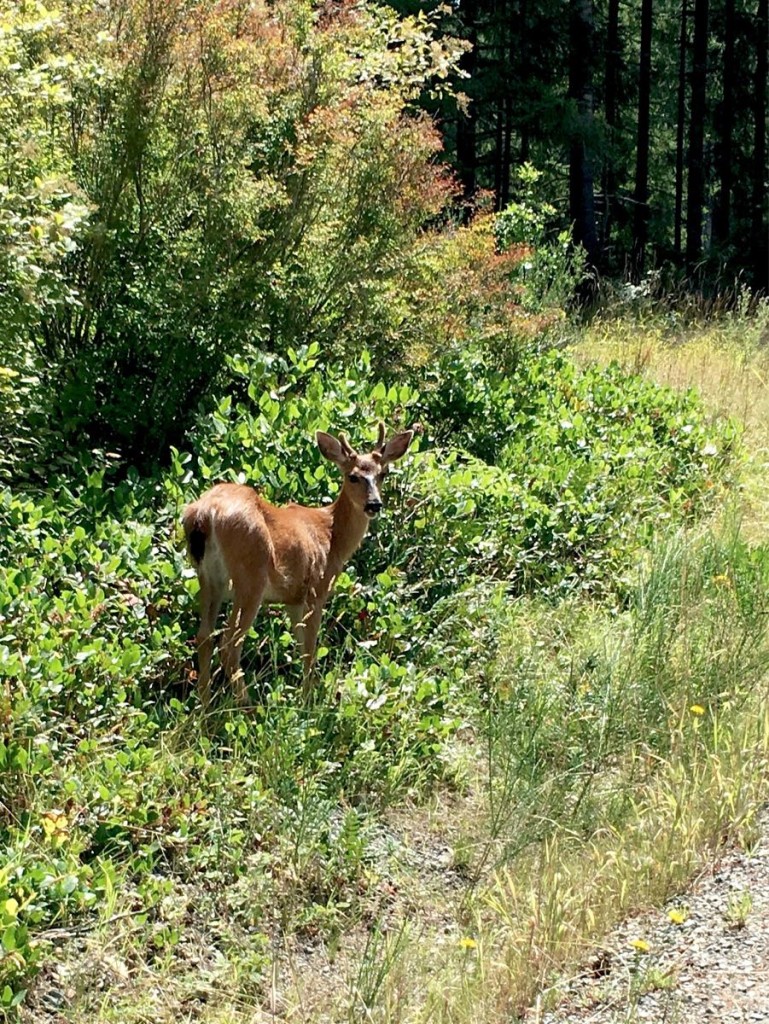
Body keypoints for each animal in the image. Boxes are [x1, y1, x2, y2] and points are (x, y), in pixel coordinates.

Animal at [182, 422, 414, 707]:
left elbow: (301, 644)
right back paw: (247, 705)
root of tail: (205, 513)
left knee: (204, 636)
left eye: (383, 474)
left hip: (208, 575)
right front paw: (308, 701)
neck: (332, 535)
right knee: (229, 643)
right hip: (251, 574)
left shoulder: (292, 598)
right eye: (353, 476)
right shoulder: (317, 588)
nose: (374, 504)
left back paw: (204, 706)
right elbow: (311, 648)